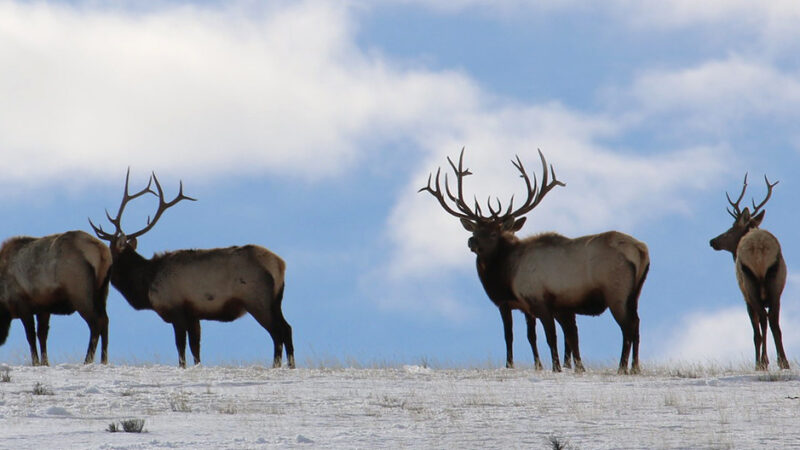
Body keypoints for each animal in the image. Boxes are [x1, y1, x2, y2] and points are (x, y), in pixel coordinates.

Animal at [0, 232, 112, 366]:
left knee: (96, 322)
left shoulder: (22, 304)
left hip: (80, 294)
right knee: (105, 320)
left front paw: (36, 363)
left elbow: (31, 336)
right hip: (102, 293)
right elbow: (42, 334)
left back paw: (87, 360)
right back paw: (104, 360)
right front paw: (45, 363)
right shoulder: (43, 308)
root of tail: (102, 251)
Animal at [90, 171, 296, 368]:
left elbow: (181, 346)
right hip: (275, 301)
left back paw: (277, 365)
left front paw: (183, 367)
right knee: (287, 328)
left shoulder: (177, 309)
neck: (147, 283)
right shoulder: (194, 315)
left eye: (109, 253)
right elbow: (195, 348)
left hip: (257, 299)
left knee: (278, 331)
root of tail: (280, 264)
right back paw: (289, 365)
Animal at [418, 149, 648, 374]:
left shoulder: (534, 299)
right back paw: (634, 367)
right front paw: (564, 367)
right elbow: (557, 337)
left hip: (616, 291)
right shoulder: (545, 305)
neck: (507, 273)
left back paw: (622, 367)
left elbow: (540, 336)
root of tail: (641, 250)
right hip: (634, 294)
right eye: (474, 230)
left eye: (493, 233)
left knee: (627, 326)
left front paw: (551, 367)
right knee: (636, 323)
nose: (471, 242)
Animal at [708, 175, 792, 370]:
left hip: (750, 284)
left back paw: (764, 362)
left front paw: (759, 362)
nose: (712, 241)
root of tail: (758, 247)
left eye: (731, 227)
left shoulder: (745, 297)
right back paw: (783, 361)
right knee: (774, 320)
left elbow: (755, 332)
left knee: (763, 321)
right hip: (776, 282)